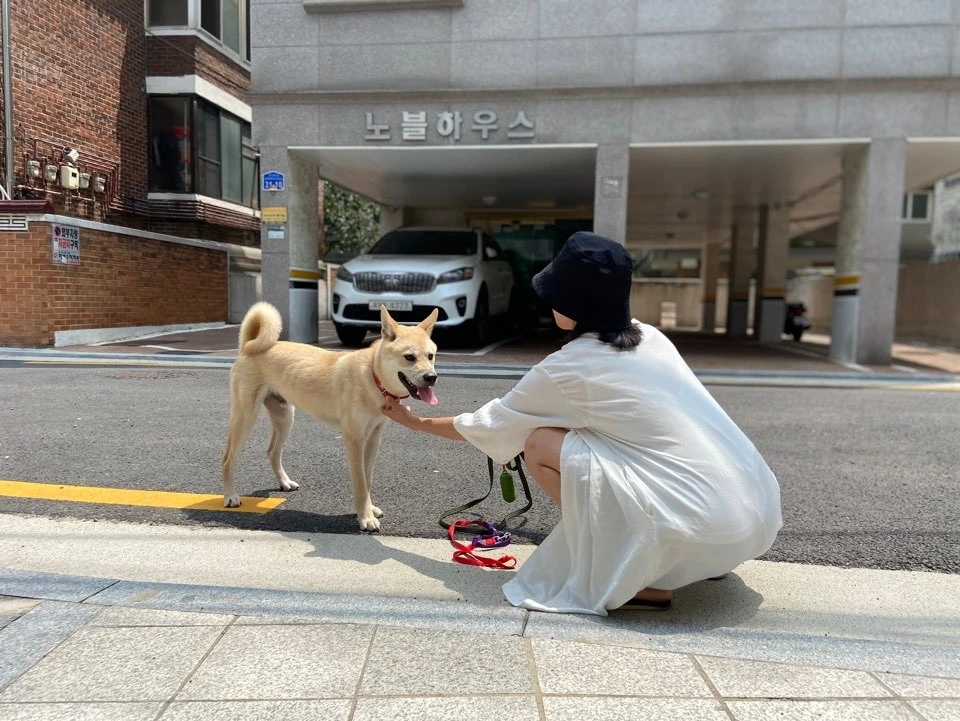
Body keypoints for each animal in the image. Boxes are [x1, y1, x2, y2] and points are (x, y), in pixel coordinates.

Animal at [220, 301, 439, 531]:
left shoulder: (373, 437)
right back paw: (230, 496)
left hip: (285, 417)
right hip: (245, 417)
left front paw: (370, 509)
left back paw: (284, 482)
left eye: (431, 356)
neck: (372, 376)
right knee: (228, 459)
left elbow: (368, 478)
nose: (432, 377)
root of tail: (247, 346)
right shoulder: (354, 439)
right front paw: (365, 517)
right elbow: (360, 482)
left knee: (272, 452)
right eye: (409, 357)